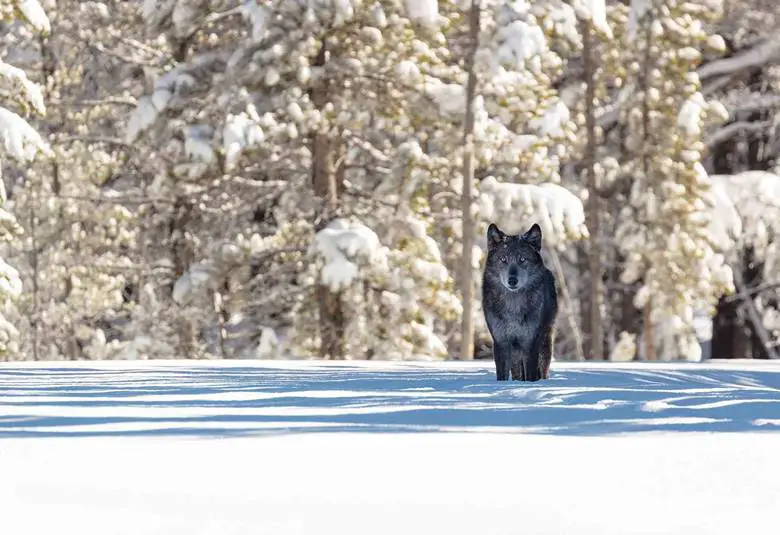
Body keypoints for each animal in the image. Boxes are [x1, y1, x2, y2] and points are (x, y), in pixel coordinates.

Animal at [482, 222, 556, 382]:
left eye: (522, 259)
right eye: (503, 259)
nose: (512, 281)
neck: (513, 305)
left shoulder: (530, 342)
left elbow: (530, 375)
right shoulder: (501, 342)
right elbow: (502, 375)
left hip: (544, 342)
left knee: (543, 369)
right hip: (515, 351)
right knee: (517, 371)